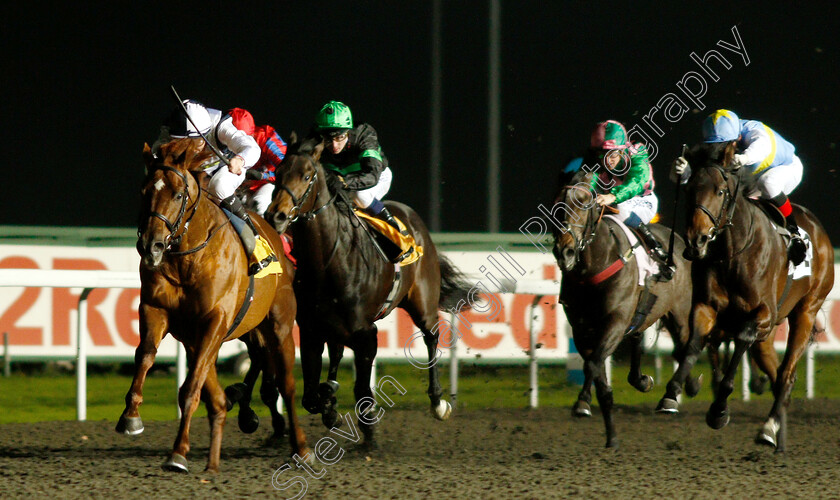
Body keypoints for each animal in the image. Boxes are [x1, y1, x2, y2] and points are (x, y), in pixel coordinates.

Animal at [120, 140, 310, 472]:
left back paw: (300, 447)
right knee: (218, 397)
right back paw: (214, 459)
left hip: (279, 326)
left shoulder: (216, 319)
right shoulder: (156, 310)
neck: (187, 258)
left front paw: (178, 453)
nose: (150, 246)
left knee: (286, 385)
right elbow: (145, 356)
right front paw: (131, 417)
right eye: (144, 191)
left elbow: (191, 388)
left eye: (178, 194)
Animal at [264, 138, 472, 446]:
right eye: (277, 173)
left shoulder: (366, 333)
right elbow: (310, 396)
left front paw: (369, 430)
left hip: (422, 302)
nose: (275, 216)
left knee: (431, 338)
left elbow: (362, 389)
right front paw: (331, 408)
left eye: (307, 175)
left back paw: (438, 403)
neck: (328, 260)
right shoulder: (312, 330)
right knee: (336, 353)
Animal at [552, 172, 704, 450]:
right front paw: (607, 431)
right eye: (557, 204)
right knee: (644, 340)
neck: (594, 264)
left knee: (687, 345)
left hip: (679, 312)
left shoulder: (616, 321)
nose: (564, 251)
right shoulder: (581, 328)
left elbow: (593, 364)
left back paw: (677, 393)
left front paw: (585, 406)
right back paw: (645, 381)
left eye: (585, 203)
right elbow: (595, 369)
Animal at [672, 143, 832, 452]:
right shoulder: (707, 307)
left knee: (786, 374)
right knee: (779, 375)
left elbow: (740, 341)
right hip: (767, 336)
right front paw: (672, 392)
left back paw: (768, 428)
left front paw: (719, 410)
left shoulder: (762, 313)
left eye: (720, 191)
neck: (732, 251)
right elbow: (694, 343)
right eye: (689, 190)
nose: (697, 240)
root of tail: (819, 231)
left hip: (805, 311)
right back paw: (778, 433)